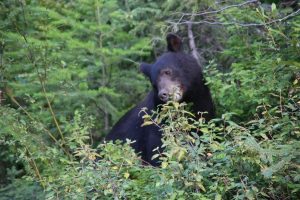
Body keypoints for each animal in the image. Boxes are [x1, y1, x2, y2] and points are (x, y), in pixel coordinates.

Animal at [106, 34, 214, 166]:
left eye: (167, 71)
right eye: (154, 83)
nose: (163, 94)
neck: (188, 99)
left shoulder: (204, 103)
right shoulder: (158, 124)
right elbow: (159, 152)